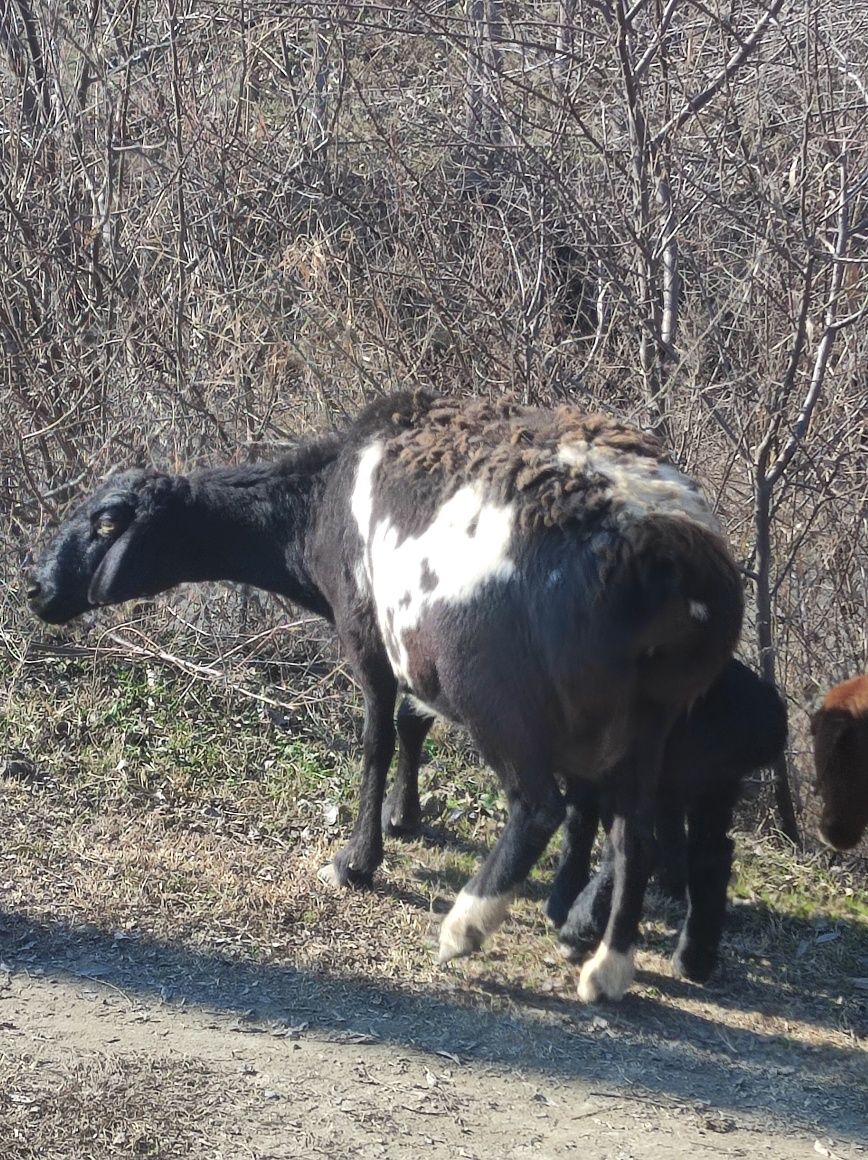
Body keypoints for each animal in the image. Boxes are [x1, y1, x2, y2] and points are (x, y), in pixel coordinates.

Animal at [30, 389, 742, 997]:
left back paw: (464, 928)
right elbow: (409, 721)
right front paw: (406, 817)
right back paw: (607, 966)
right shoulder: (411, 649)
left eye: (106, 523)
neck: (314, 509)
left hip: (498, 692)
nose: (37, 590)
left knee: (539, 807)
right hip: (651, 714)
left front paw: (356, 861)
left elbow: (375, 736)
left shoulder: (365, 628)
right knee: (638, 833)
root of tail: (672, 563)